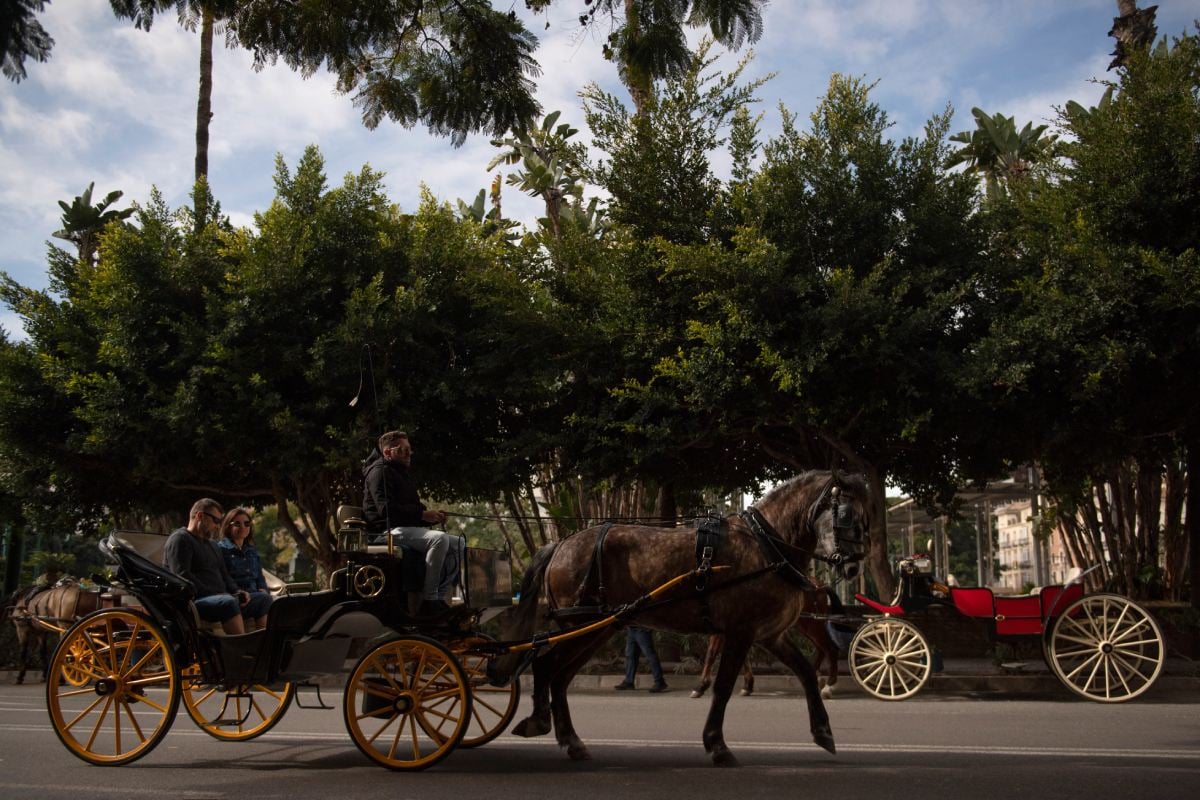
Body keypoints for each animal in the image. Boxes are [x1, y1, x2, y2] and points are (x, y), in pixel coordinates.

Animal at [691, 582, 840, 700]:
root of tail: (818, 585)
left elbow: (711, 654)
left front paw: (700, 686)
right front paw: (748, 685)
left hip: (811, 624)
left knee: (831, 648)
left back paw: (829, 686)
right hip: (805, 625)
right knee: (821, 649)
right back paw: (815, 677)